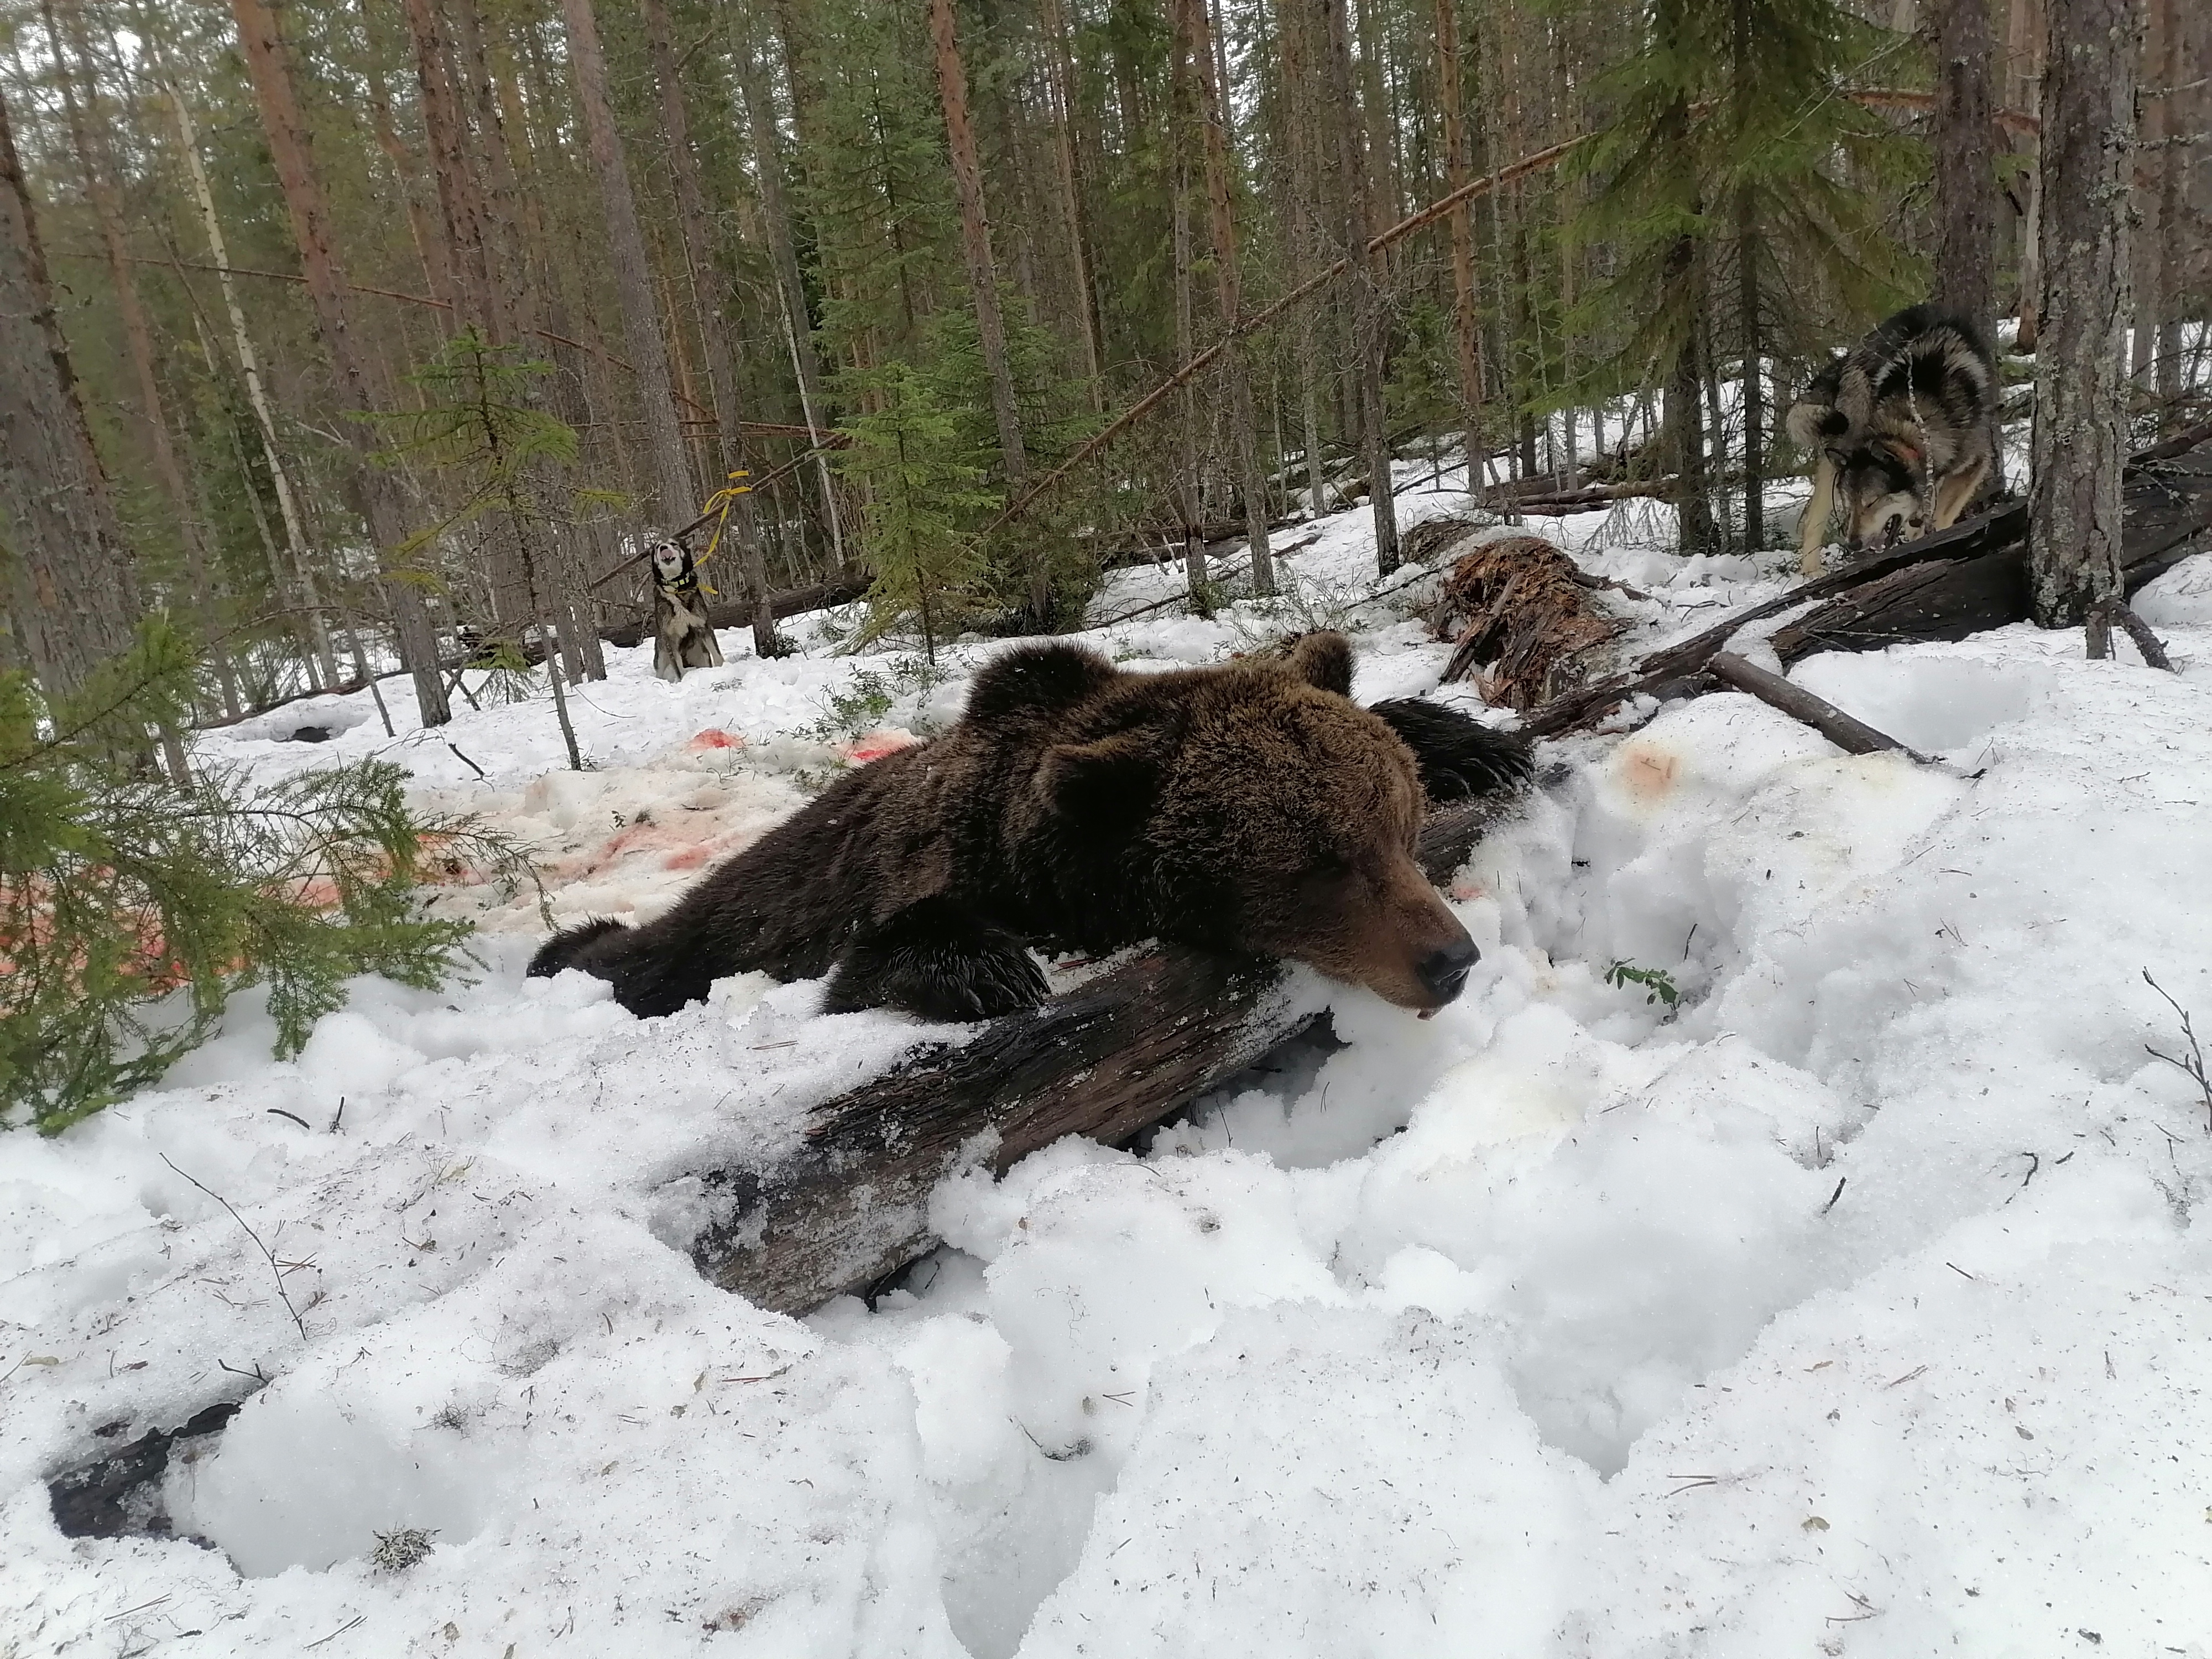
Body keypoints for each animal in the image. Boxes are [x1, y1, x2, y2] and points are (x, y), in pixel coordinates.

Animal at [528, 631, 1530, 1023]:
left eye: (1395, 828)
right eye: (1319, 866)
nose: (1452, 958)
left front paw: (1473, 746)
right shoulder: (943, 866)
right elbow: (876, 957)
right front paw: (990, 969)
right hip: (717, 928)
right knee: (639, 958)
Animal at [649, 540, 722, 683]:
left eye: (673, 543)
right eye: (657, 546)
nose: (663, 547)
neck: (677, 587)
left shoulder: (703, 626)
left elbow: (717, 655)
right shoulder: (670, 637)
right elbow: (678, 668)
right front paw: (682, 681)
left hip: (699, 655)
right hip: (662, 655)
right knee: (660, 671)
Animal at [1787, 304, 1998, 575]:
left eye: (1873, 502)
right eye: (1849, 504)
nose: (1853, 545)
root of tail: (1848, 356)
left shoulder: (1975, 464)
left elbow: (1940, 517)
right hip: (1843, 438)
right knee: (1813, 519)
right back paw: (1812, 571)